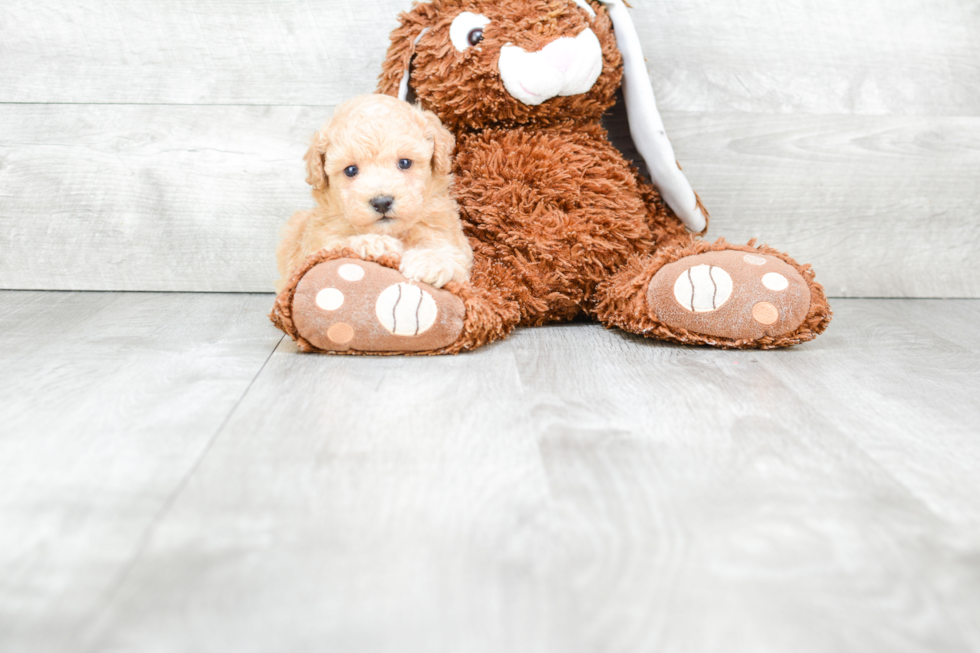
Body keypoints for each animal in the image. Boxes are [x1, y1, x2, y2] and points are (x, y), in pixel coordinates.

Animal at [276, 93, 474, 290]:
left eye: (405, 163)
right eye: (350, 170)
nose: (382, 202)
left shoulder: (448, 236)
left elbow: (451, 254)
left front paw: (429, 262)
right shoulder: (314, 248)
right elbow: (339, 244)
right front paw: (376, 244)